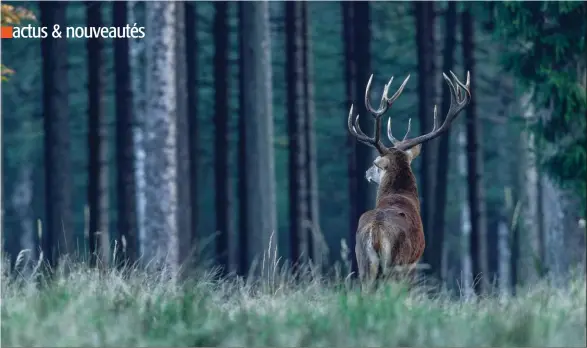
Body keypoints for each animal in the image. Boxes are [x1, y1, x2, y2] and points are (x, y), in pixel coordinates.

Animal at [350, 71, 474, 290]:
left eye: (374, 163)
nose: (366, 172)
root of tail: (375, 232)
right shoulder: (415, 261)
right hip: (397, 264)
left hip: (364, 264)